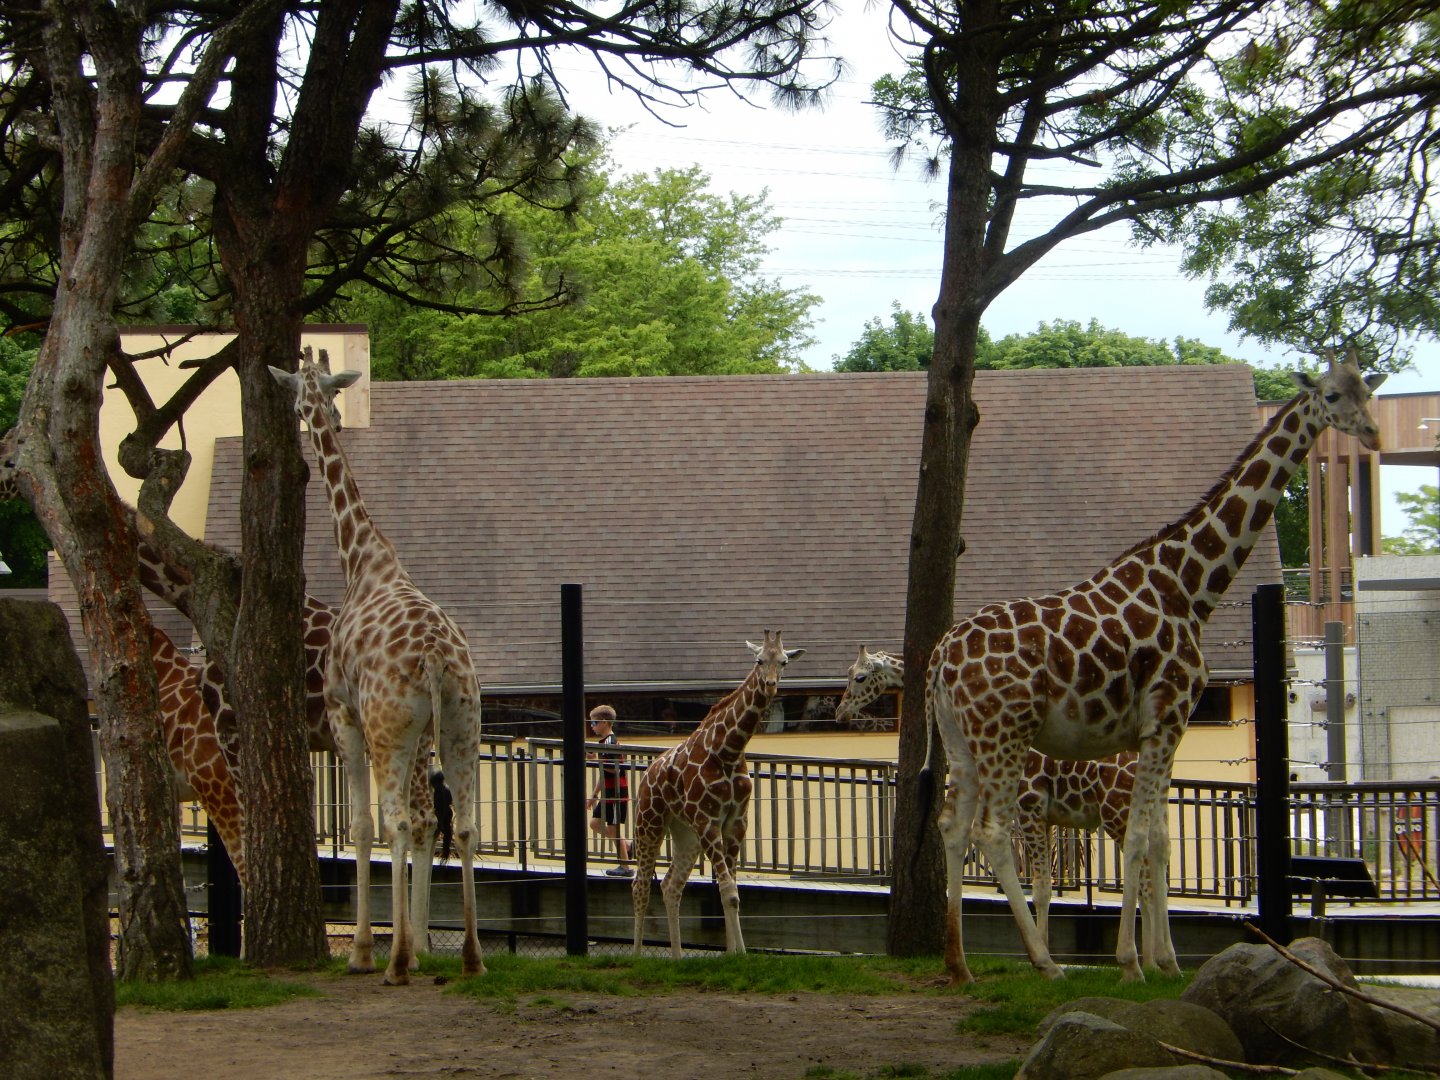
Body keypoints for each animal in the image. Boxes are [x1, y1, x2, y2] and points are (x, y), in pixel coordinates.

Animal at [270, 355, 484, 983]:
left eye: (299, 403)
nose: (319, 419)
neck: (363, 561)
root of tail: (436, 659)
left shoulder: (345, 716)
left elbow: (362, 826)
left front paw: (365, 951)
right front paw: (409, 940)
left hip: (392, 731)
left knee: (396, 822)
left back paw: (393, 964)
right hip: (461, 725)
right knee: (462, 824)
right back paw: (470, 957)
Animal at [631, 630, 805, 957]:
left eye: (784, 662)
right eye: (758, 660)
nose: (771, 684)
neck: (728, 750)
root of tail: (648, 774)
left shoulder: (736, 822)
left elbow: (733, 891)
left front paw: (733, 954)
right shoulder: (708, 821)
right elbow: (727, 890)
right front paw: (740, 954)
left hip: (685, 833)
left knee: (670, 885)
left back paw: (677, 958)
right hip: (649, 822)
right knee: (641, 885)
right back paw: (636, 956)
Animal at [836, 647, 1143, 951]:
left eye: (860, 677)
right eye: (848, 674)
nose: (840, 713)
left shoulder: (1029, 806)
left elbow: (1040, 888)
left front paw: (1040, 951)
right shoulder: (1043, 816)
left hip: (1115, 812)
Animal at [923, 354, 1384, 984]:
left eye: (1368, 391)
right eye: (1333, 395)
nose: (1372, 433)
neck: (1191, 587)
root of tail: (939, 660)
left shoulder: (1163, 727)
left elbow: (1161, 840)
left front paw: (1166, 961)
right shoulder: (1166, 715)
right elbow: (1143, 840)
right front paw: (1132, 964)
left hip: (962, 740)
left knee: (951, 825)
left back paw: (959, 963)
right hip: (1005, 733)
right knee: (990, 833)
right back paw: (1046, 962)